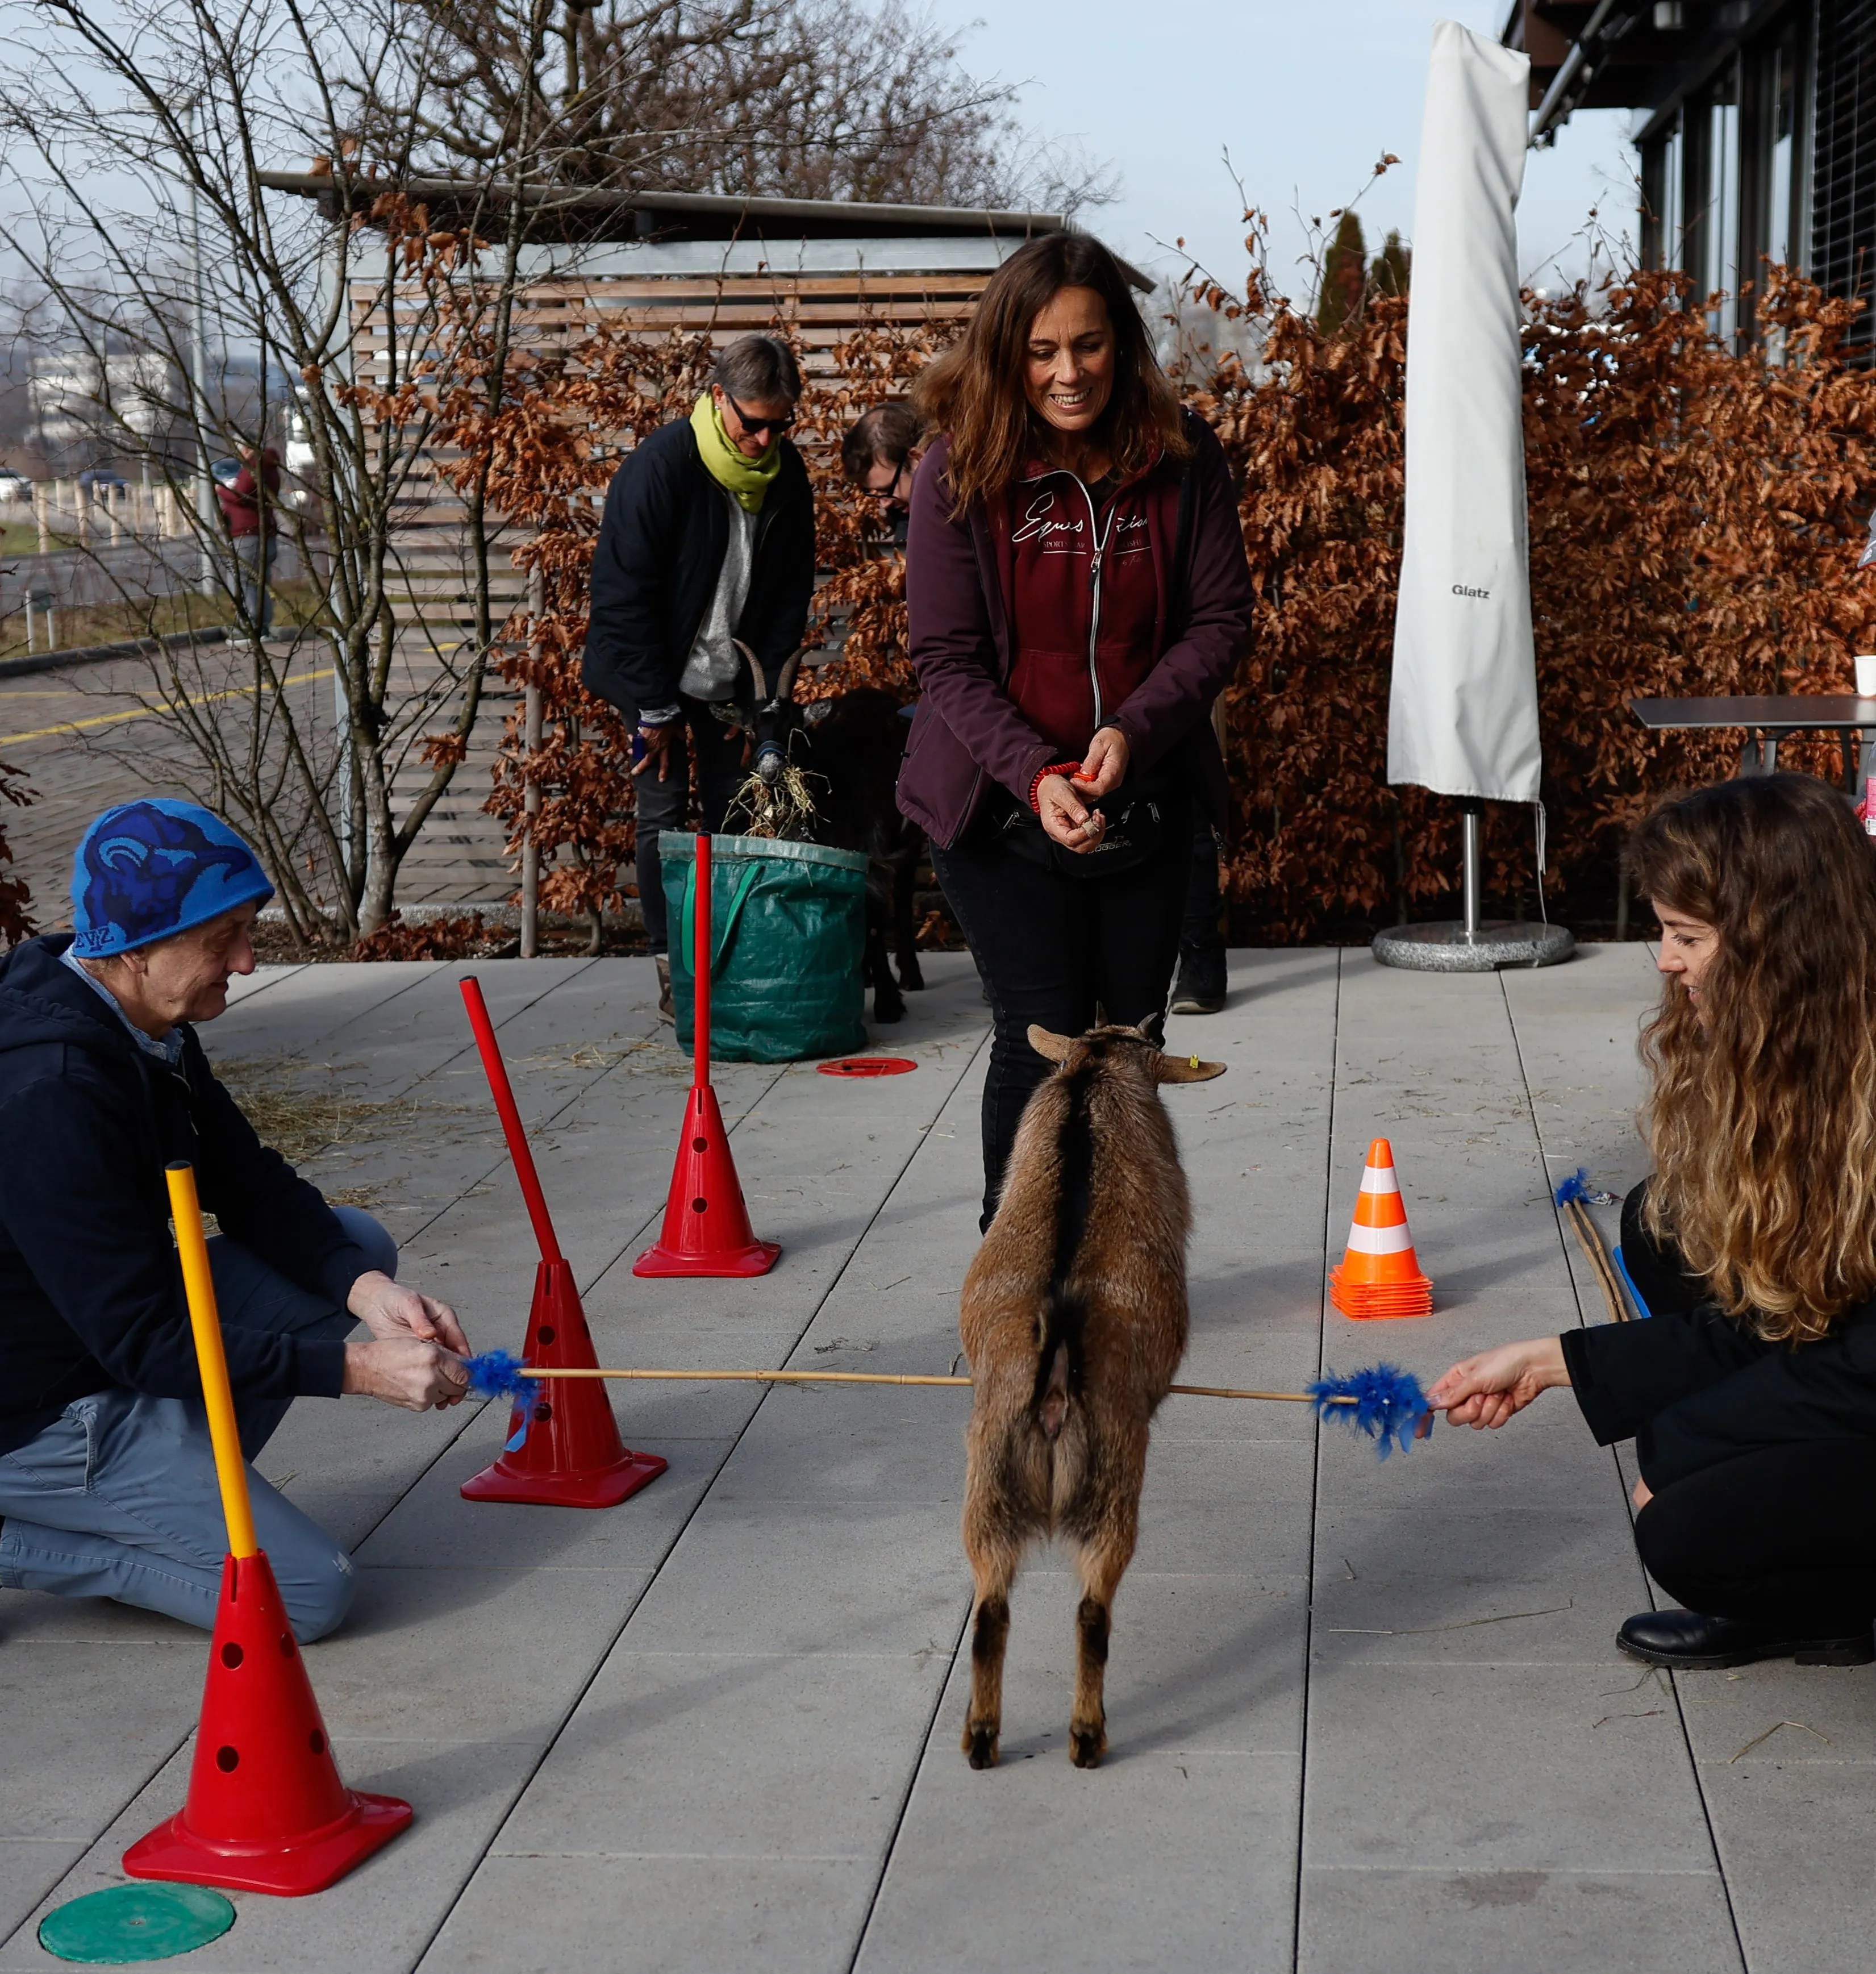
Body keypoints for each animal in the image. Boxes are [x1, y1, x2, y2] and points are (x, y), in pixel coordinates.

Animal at [964, 1018, 1224, 1776]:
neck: (1095, 1069)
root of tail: (1054, 1372)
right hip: (1111, 1479)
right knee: (1092, 1612)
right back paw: (1086, 1736)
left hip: (989, 1478)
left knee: (990, 1609)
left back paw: (980, 1738)